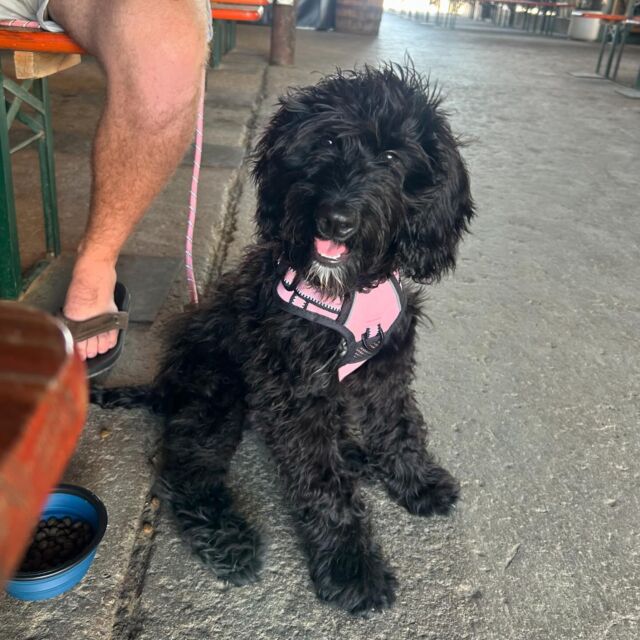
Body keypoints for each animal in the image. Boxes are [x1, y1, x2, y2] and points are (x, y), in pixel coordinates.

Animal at [96, 62, 476, 612]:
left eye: (390, 156)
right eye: (329, 141)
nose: (336, 219)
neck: (346, 287)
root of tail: (164, 386)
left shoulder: (384, 365)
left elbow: (399, 427)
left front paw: (417, 481)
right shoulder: (294, 388)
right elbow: (322, 484)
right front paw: (351, 567)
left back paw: (353, 454)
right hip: (216, 395)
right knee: (187, 470)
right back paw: (227, 538)